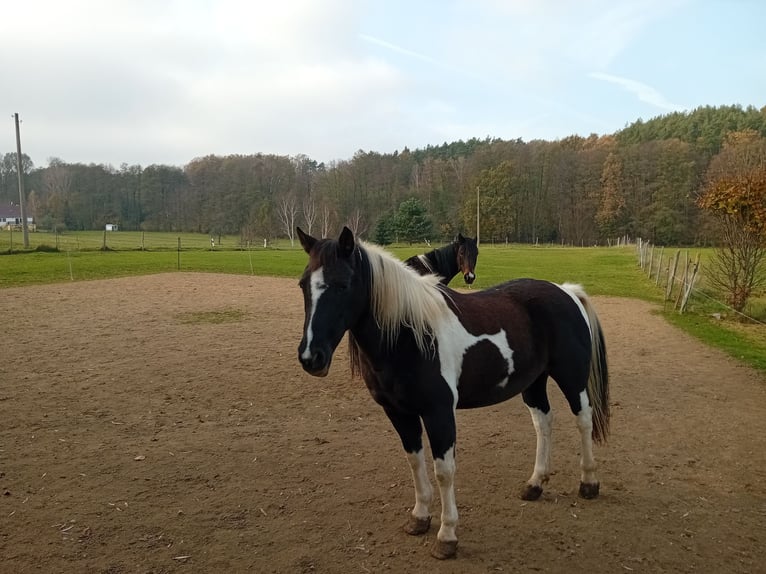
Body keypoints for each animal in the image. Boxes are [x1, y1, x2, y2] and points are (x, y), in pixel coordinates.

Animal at [296, 227, 612, 560]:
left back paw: (589, 482)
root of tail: (566, 291)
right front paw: (419, 517)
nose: (311, 357)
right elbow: (415, 462)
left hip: (572, 378)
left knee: (584, 421)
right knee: (544, 423)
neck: (411, 334)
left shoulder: (439, 413)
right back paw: (535, 484)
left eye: (342, 284)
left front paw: (447, 535)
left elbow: (444, 471)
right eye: (303, 284)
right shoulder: (399, 412)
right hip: (533, 383)